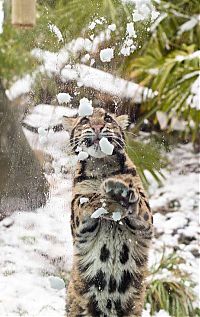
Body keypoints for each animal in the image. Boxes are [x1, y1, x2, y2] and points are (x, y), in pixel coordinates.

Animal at [63, 107, 154, 316]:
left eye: (107, 118)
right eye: (85, 120)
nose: (97, 126)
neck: (101, 165)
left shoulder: (146, 224)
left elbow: (138, 203)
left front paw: (121, 192)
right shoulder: (78, 227)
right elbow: (85, 202)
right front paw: (103, 197)